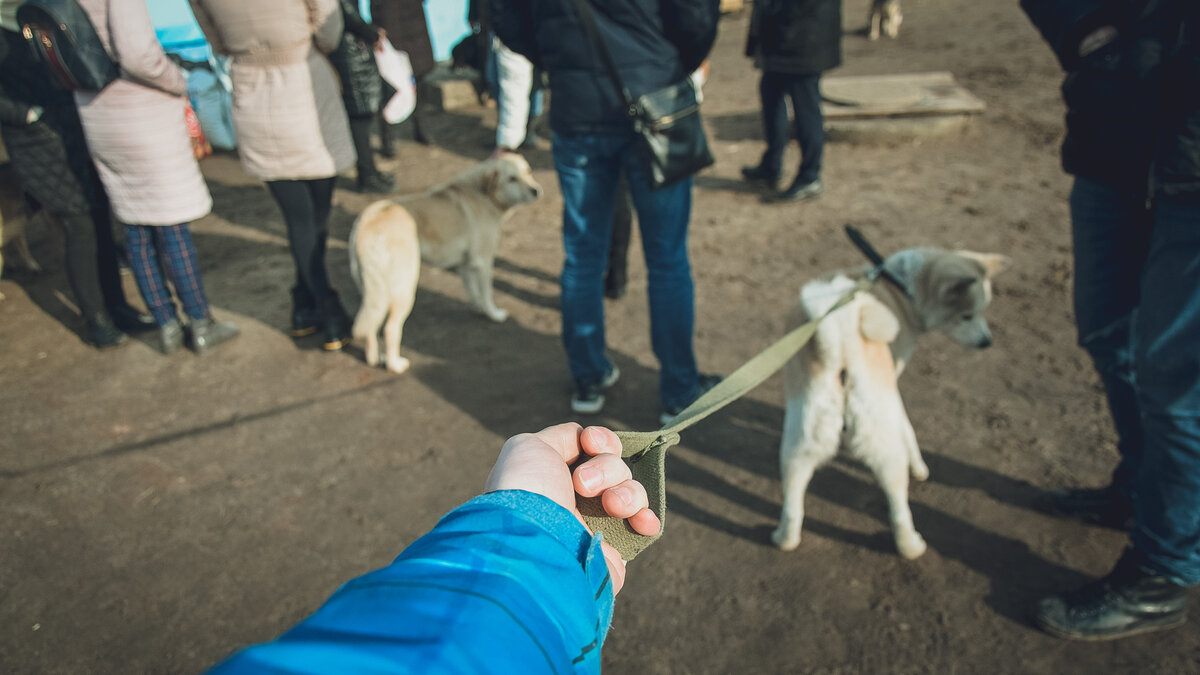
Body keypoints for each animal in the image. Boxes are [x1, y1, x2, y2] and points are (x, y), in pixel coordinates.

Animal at [350, 152, 542, 372]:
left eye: (528, 171)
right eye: (512, 179)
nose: (536, 191)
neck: (483, 193)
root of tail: (367, 222)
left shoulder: (464, 265)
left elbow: (473, 292)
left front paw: (478, 310)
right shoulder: (483, 262)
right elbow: (487, 294)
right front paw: (494, 315)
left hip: (373, 293)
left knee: (371, 328)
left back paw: (376, 358)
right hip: (404, 290)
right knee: (390, 329)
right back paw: (395, 365)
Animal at [772, 247, 1008, 557]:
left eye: (982, 312)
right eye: (966, 316)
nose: (986, 343)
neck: (902, 287)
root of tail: (840, 338)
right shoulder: (893, 386)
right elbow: (908, 429)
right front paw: (919, 466)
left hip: (799, 446)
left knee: (793, 504)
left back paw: (784, 539)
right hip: (885, 449)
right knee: (899, 507)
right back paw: (911, 546)